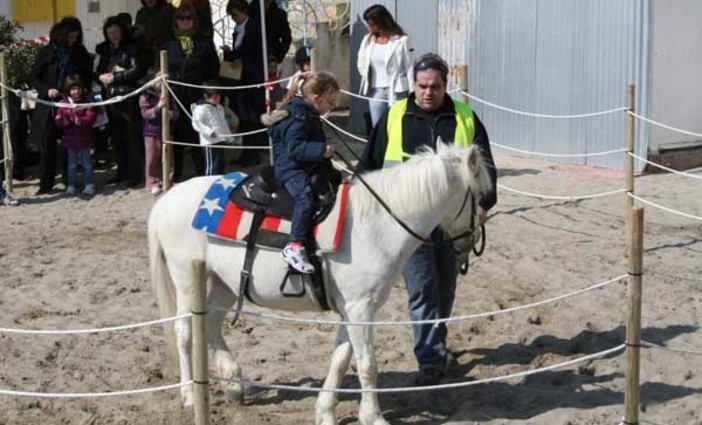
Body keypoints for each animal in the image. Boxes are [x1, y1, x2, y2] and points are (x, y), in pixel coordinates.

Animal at [151, 143, 496, 424]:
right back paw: (188, 394)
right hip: (186, 279)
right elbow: (367, 365)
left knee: (210, 322)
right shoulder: (360, 309)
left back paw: (235, 383)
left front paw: (325, 412)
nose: (471, 242)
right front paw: (373, 417)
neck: (379, 223)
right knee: (184, 331)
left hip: (223, 282)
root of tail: (166, 201)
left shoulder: (352, 310)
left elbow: (341, 360)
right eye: (478, 196)